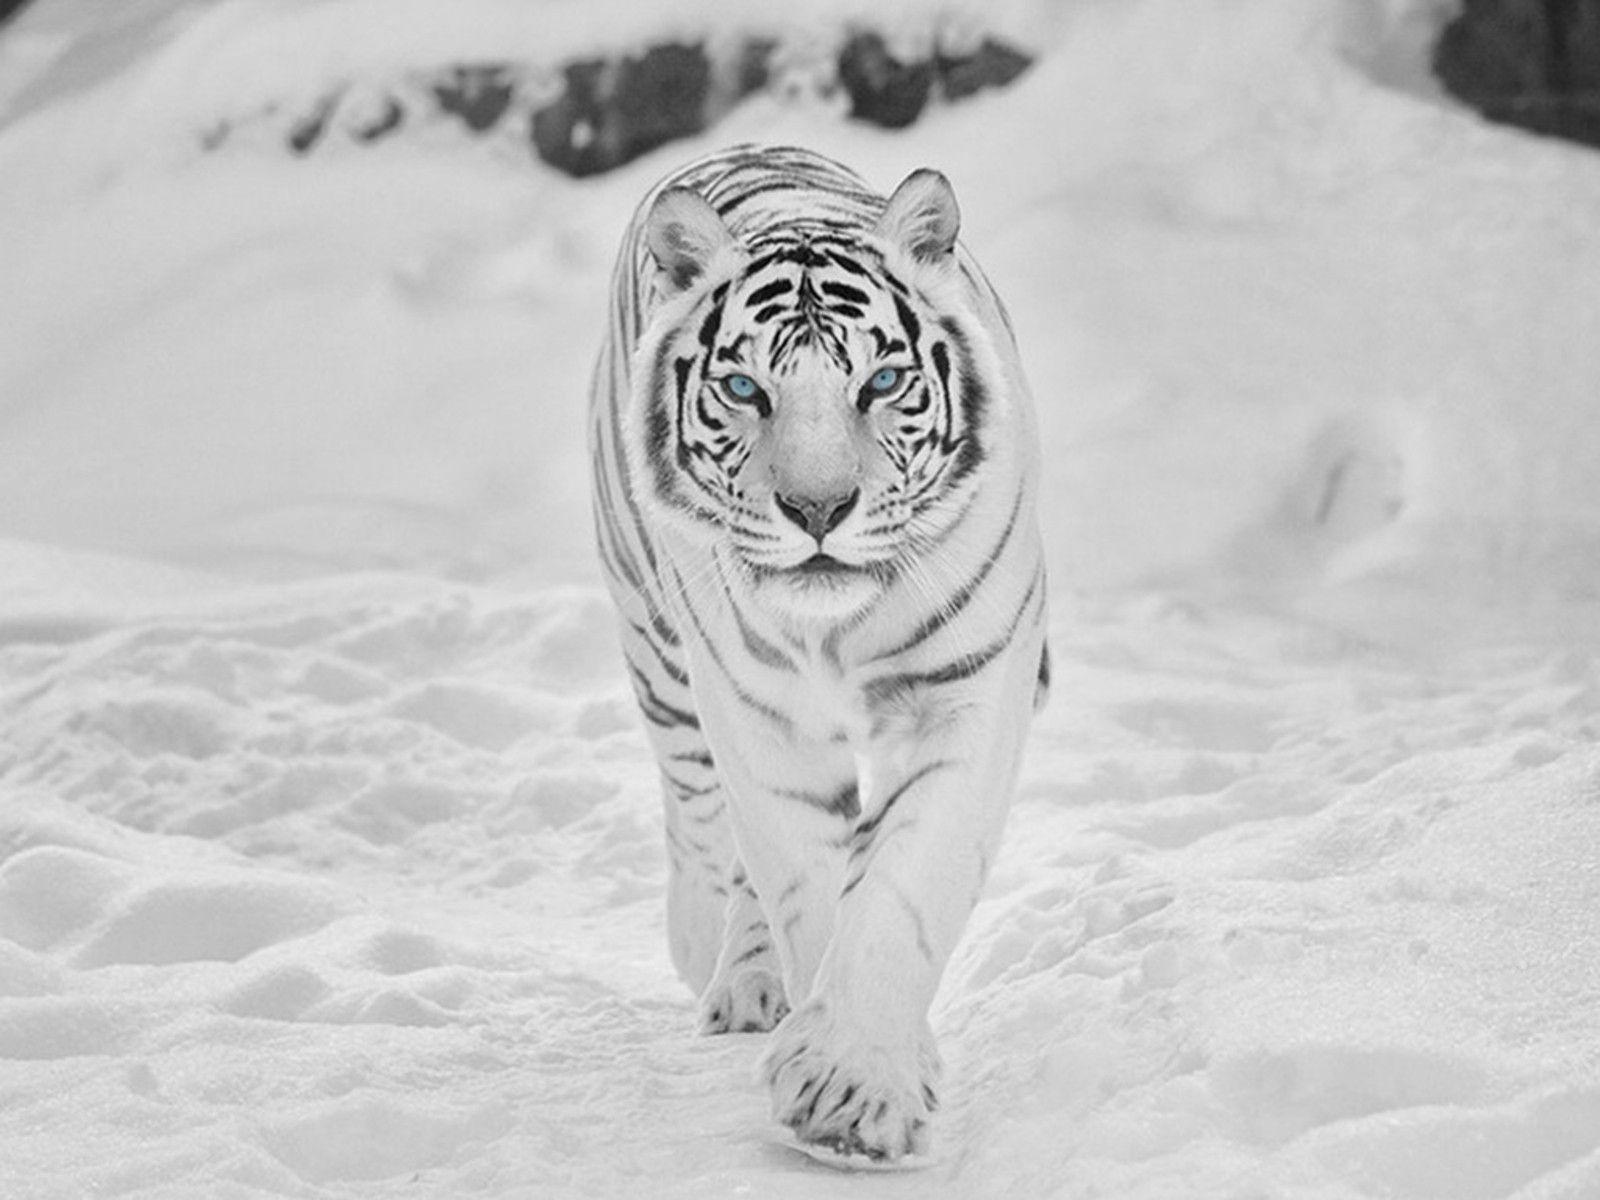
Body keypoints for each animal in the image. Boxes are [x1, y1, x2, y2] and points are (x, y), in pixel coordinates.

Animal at [588, 143, 1048, 1164]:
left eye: (879, 384)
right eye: (744, 390)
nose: (817, 509)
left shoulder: (967, 694)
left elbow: (902, 886)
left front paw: (856, 1088)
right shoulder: (761, 718)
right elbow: (802, 877)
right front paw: (845, 1077)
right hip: (658, 648)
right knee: (701, 817)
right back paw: (722, 963)